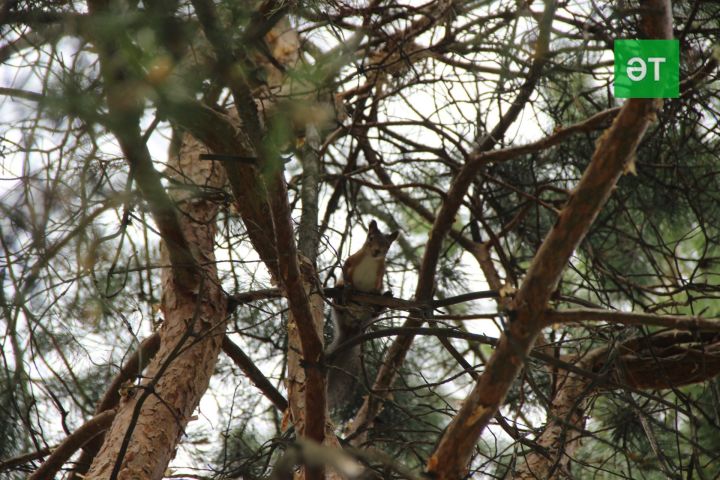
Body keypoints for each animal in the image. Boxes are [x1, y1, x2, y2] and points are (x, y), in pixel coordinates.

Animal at [326, 220, 400, 416]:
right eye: (370, 238)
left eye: (387, 245)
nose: (377, 252)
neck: (370, 261)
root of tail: (350, 329)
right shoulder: (350, 261)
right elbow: (345, 273)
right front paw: (348, 287)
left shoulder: (380, 274)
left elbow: (378, 286)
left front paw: (378, 293)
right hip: (338, 309)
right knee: (339, 303)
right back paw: (340, 296)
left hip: (368, 314)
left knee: (374, 312)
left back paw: (381, 303)